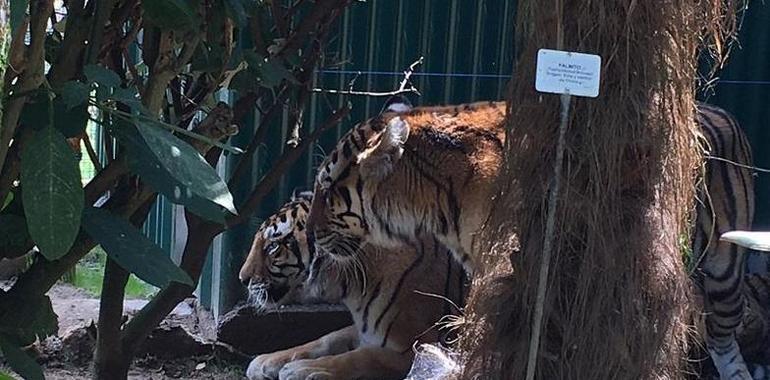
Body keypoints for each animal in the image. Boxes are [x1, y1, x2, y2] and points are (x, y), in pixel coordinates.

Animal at [236, 191, 462, 380]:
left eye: (273, 246)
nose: (242, 279)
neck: (353, 287)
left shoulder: (418, 347)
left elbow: (362, 357)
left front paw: (303, 369)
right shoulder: (366, 329)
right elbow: (327, 338)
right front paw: (267, 360)